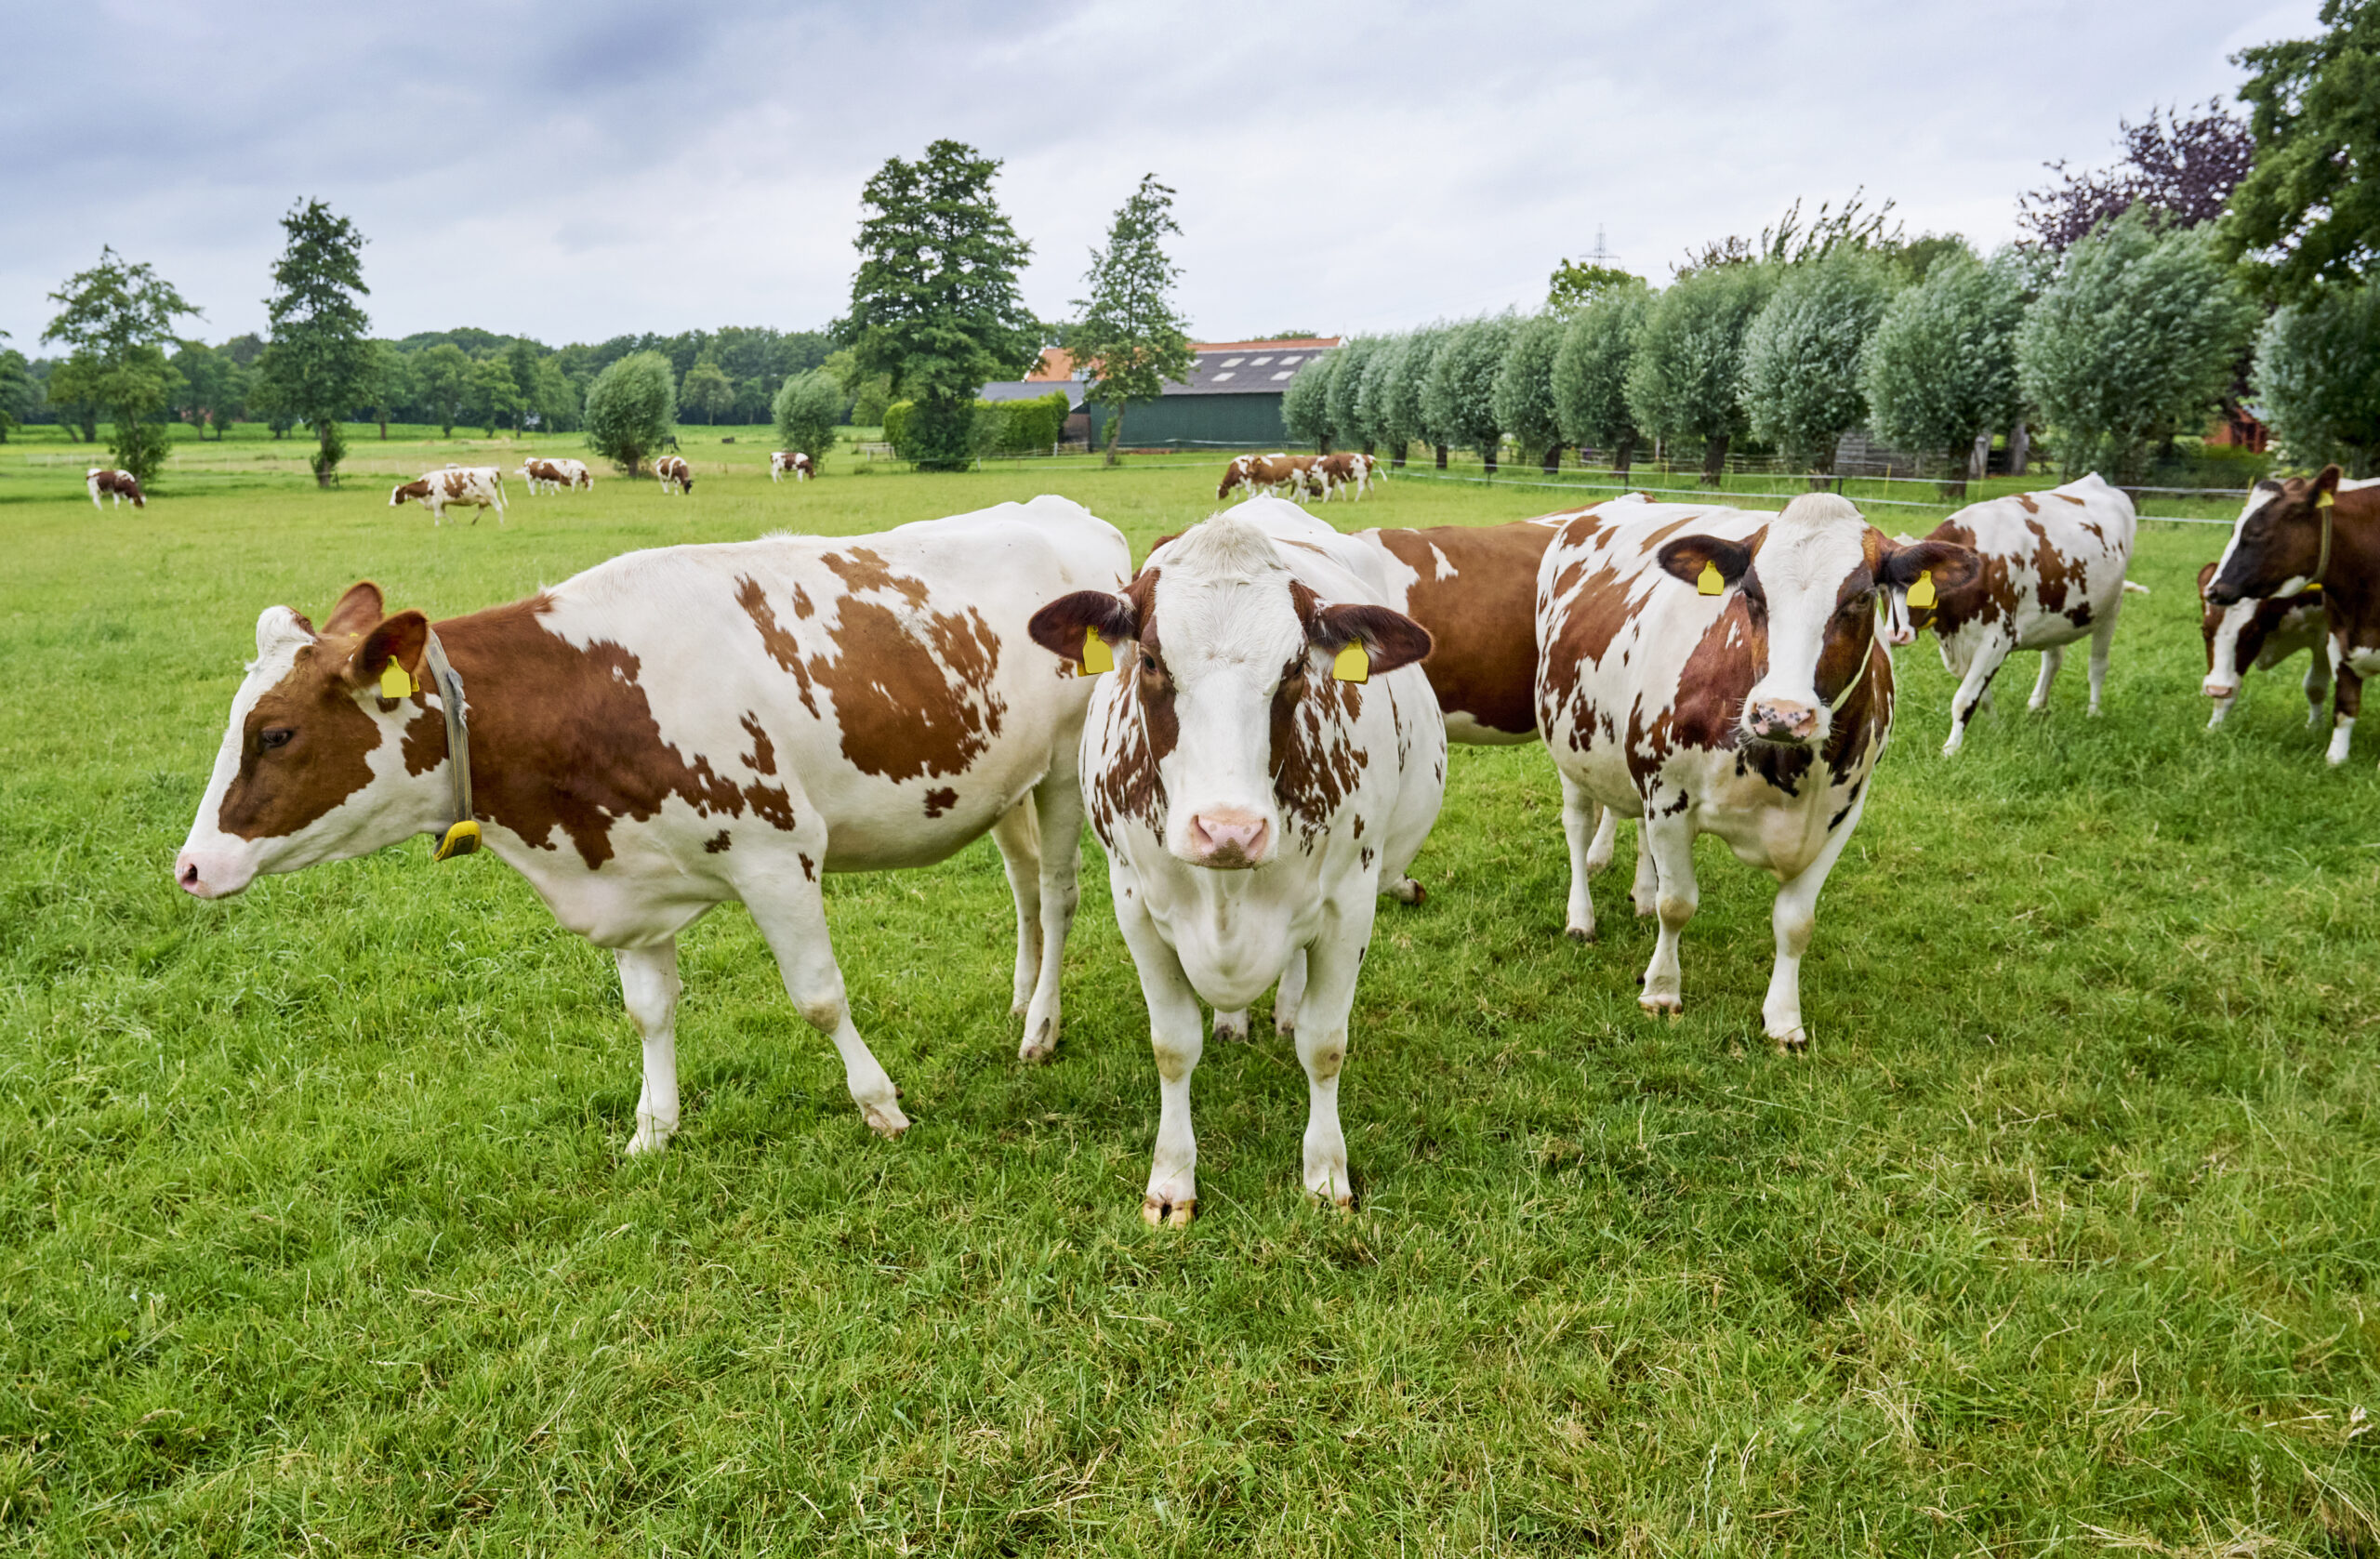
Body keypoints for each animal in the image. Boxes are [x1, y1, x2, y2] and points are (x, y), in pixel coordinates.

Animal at [175, 496, 1133, 1154]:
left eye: (275, 733)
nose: (189, 866)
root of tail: (1062, 513)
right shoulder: (626, 878)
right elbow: (648, 1013)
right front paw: (654, 1128)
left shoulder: (776, 855)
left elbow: (819, 996)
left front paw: (880, 1105)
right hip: (1003, 782)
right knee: (1021, 886)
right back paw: (1021, 995)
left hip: (1061, 769)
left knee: (1056, 893)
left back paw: (1041, 1027)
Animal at [1027, 511, 1446, 1222]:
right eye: (1150, 660)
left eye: (1297, 667)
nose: (1229, 829)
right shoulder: (1135, 905)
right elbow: (1173, 1046)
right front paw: (1171, 1181)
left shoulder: (1350, 903)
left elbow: (1324, 1044)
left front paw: (1325, 1172)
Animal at [1535, 493, 1978, 1049]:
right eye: (1750, 593)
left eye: (1860, 599)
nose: (1781, 714)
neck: (1787, 768)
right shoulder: (1668, 794)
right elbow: (1677, 904)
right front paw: (1661, 990)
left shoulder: (1841, 816)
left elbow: (1795, 923)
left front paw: (1784, 1019)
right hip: (1569, 745)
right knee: (1578, 827)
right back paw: (1581, 915)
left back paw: (1640, 893)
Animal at [1884, 474, 2141, 756]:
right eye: (1881, 589)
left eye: (1920, 587)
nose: (1895, 635)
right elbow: (1981, 696)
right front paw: (1996, 729)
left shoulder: (1998, 640)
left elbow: (1964, 698)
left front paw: (1951, 750)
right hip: (2054, 616)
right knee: (2053, 659)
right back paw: (2036, 705)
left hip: (2110, 610)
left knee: (2097, 665)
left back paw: (2093, 713)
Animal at [2204, 465, 2380, 765]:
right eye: (2205, 632)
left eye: (2256, 532)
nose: (2214, 590)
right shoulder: (2338, 637)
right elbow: (2343, 704)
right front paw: (2334, 758)